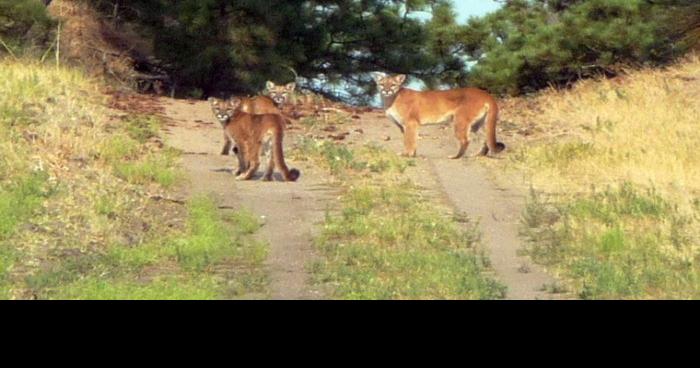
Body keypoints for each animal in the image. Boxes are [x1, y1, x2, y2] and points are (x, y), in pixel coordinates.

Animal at [372, 73, 504, 158]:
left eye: (393, 84)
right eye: (382, 84)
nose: (386, 90)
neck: (391, 99)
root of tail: (485, 94)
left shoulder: (411, 123)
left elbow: (409, 140)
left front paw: (407, 154)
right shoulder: (404, 126)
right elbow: (409, 139)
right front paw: (412, 154)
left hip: (460, 121)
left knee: (465, 140)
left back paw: (455, 156)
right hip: (476, 125)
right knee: (485, 139)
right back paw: (477, 155)